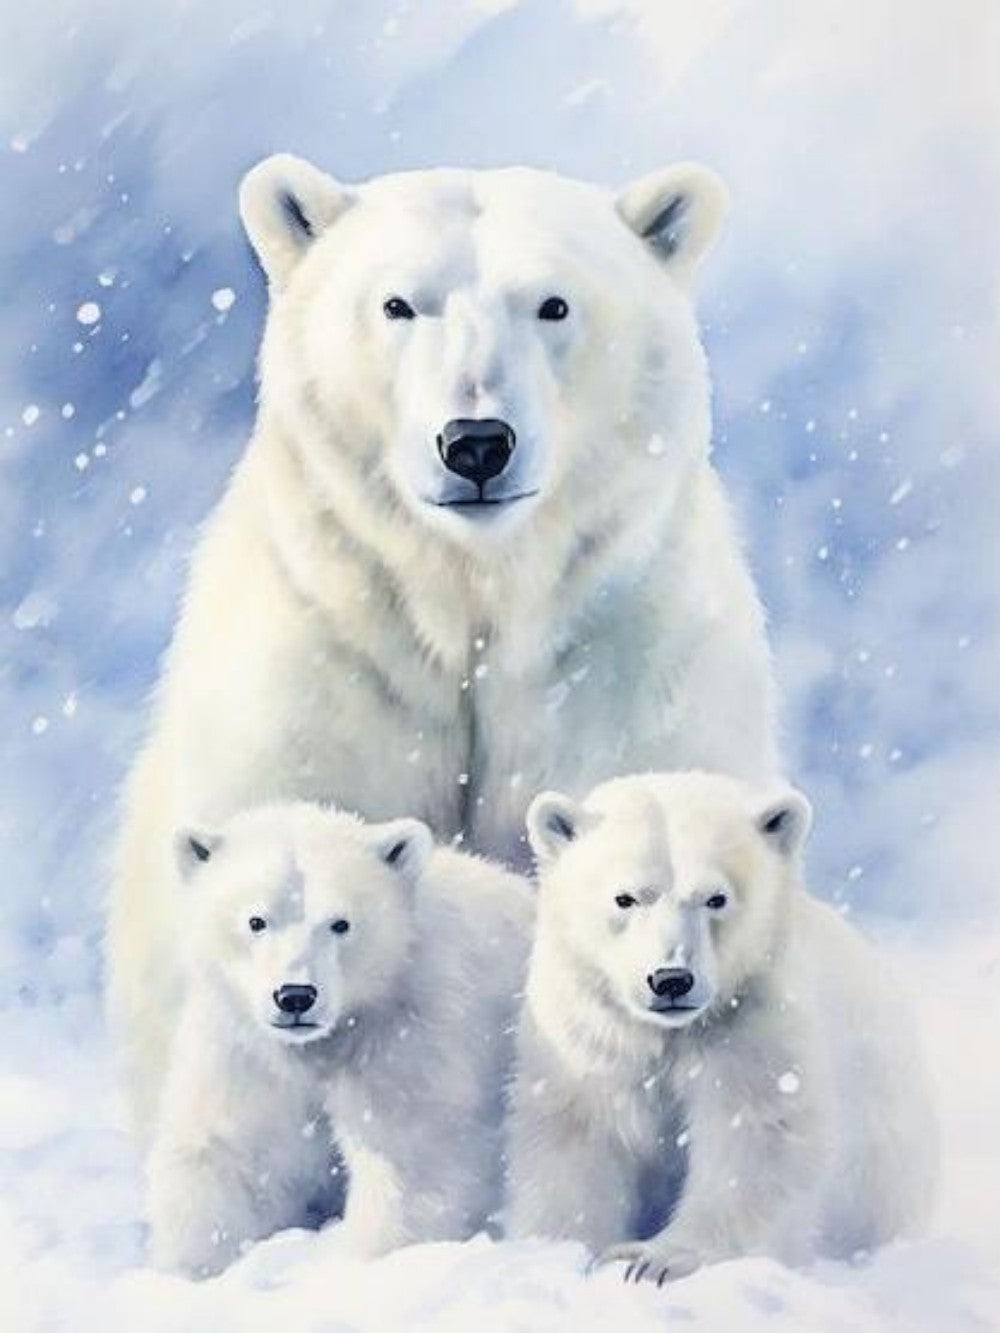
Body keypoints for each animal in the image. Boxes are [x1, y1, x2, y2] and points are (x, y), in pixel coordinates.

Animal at [110, 154, 777, 1136]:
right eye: (398, 304)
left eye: (553, 303)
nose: (476, 442)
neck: (471, 597)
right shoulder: (327, 674)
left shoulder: (623, 669)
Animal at [146, 801, 532, 1277]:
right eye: (256, 920)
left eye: (340, 923)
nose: (295, 996)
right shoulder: (244, 1052)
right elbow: (229, 1153)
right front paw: (195, 1268)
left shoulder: (409, 1040)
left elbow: (408, 1165)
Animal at [506, 771, 938, 1285]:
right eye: (625, 897)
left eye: (716, 898)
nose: (671, 979)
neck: (671, 1031)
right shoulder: (589, 1032)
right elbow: (576, 1136)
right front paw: (560, 1251)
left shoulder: (754, 1020)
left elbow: (753, 1136)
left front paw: (654, 1259)